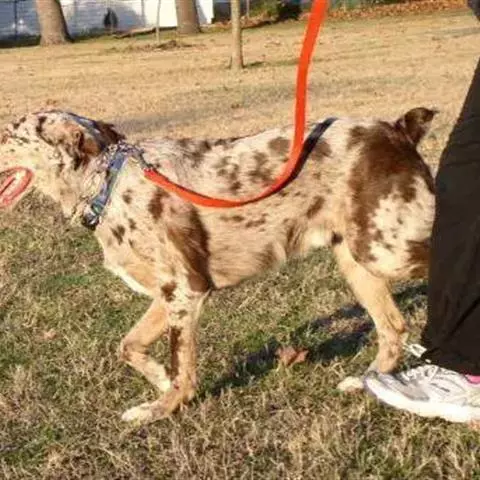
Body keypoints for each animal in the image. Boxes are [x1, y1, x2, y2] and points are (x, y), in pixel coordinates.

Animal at [0, 108, 436, 422]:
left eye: (6, 136)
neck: (109, 181)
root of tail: (396, 130)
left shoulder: (186, 291)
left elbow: (181, 365)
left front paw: (161, 409)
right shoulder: (171, 293)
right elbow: (128, 346)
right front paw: (159, 382)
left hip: (386, 250)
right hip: (358, 260)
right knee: (393, 328)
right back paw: (366, 382)